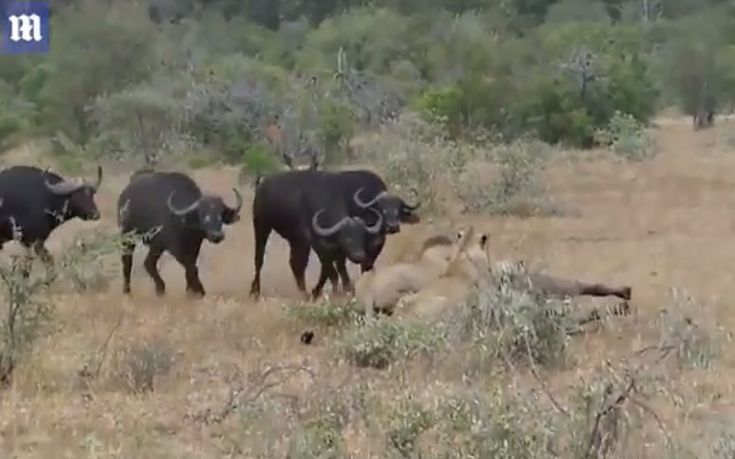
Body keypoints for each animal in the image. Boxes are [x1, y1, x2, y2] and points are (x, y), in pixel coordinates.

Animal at [249, 171, 386, 300]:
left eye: (361, 236)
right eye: (347, 238)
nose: (359, 256)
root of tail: (262, 185)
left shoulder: (333, 248)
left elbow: (333, 268)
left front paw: (343, 288)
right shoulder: (317, 245)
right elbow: (329, 269)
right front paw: (327, 291)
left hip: (295, 240)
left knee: (294, 264)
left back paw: (303, 291)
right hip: (261, 226)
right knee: (260, 260)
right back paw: (255, 292)